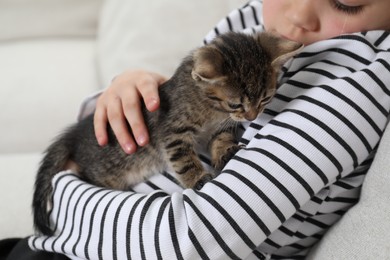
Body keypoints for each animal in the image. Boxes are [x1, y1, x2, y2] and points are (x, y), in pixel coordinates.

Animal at [32, 31, 302, 235]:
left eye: (265, 99)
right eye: (236, 104)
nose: (252, 117)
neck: (212, 110)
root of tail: (75, 134)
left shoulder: (221, 127)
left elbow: (221, 139)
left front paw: (225, 151)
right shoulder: (173, 133)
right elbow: (184, 161)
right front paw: (198, 179)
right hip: (104, 174)